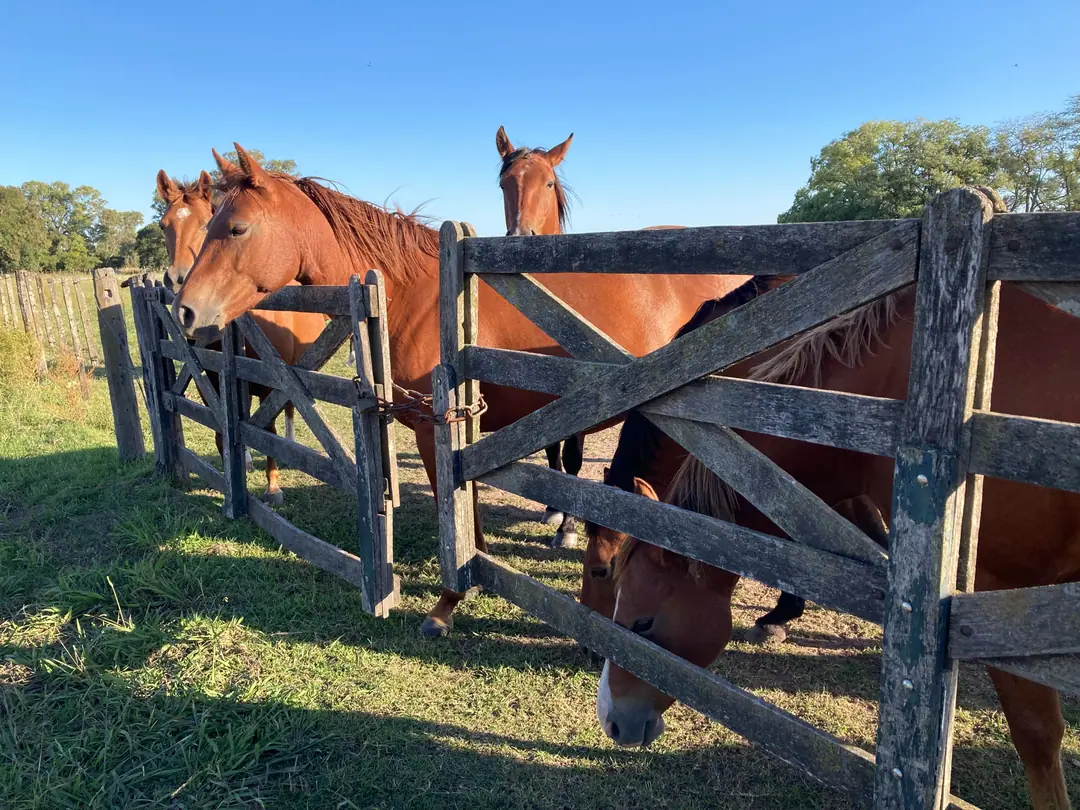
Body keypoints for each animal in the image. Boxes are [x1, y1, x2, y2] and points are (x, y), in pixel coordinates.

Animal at [156, 170, 325, 503]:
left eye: (204, 223)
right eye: (163, 225)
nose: (178, 279)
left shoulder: (272, 380)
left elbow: (268, 431)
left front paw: (273, 487)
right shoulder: (214, 382)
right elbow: (223, 431)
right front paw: (229, 479)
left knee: (288, 408)